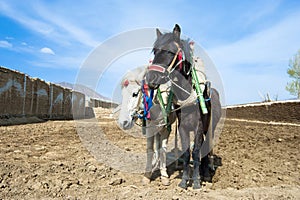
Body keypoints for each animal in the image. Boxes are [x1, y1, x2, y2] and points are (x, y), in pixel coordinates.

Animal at [144, 24, 221, 189]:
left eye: (170, 51)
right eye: (155, 51)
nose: (151, 78)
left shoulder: (199, 126)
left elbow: (196, 151)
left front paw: (196, 181)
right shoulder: (182, 127)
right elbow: (186, 153)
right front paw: (185, 181)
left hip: (210, 127)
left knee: (206, 149)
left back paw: (206, 174)